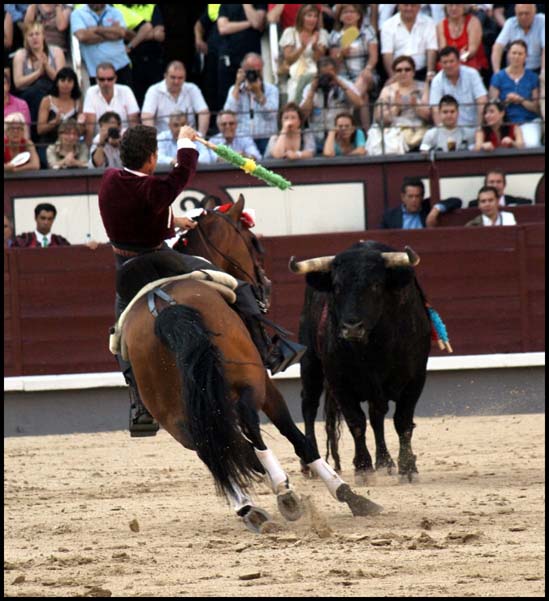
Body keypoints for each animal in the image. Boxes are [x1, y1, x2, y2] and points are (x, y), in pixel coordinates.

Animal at [120, 195, 382, 532]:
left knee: (210, 446)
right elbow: (296, 437)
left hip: (174, 414)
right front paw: (345, 494)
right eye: (254, 242)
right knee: (247, 424)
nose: (264, 282)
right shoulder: (268, 387)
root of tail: (166, 307)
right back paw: (286, 494)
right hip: (250, 381)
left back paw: (249, 508)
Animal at [289, 240, 432, 483]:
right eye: (337, 286)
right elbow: (356, 422)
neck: (373, 347)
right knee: (308, 405)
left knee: (376, 416)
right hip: (310, 363)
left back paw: (385, 462)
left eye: (376, 285)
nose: (352, 327)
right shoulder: (339, 382)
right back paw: (311, 464)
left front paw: (407, 468)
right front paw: (363, 468)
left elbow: (402, 422)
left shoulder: (416, 379)